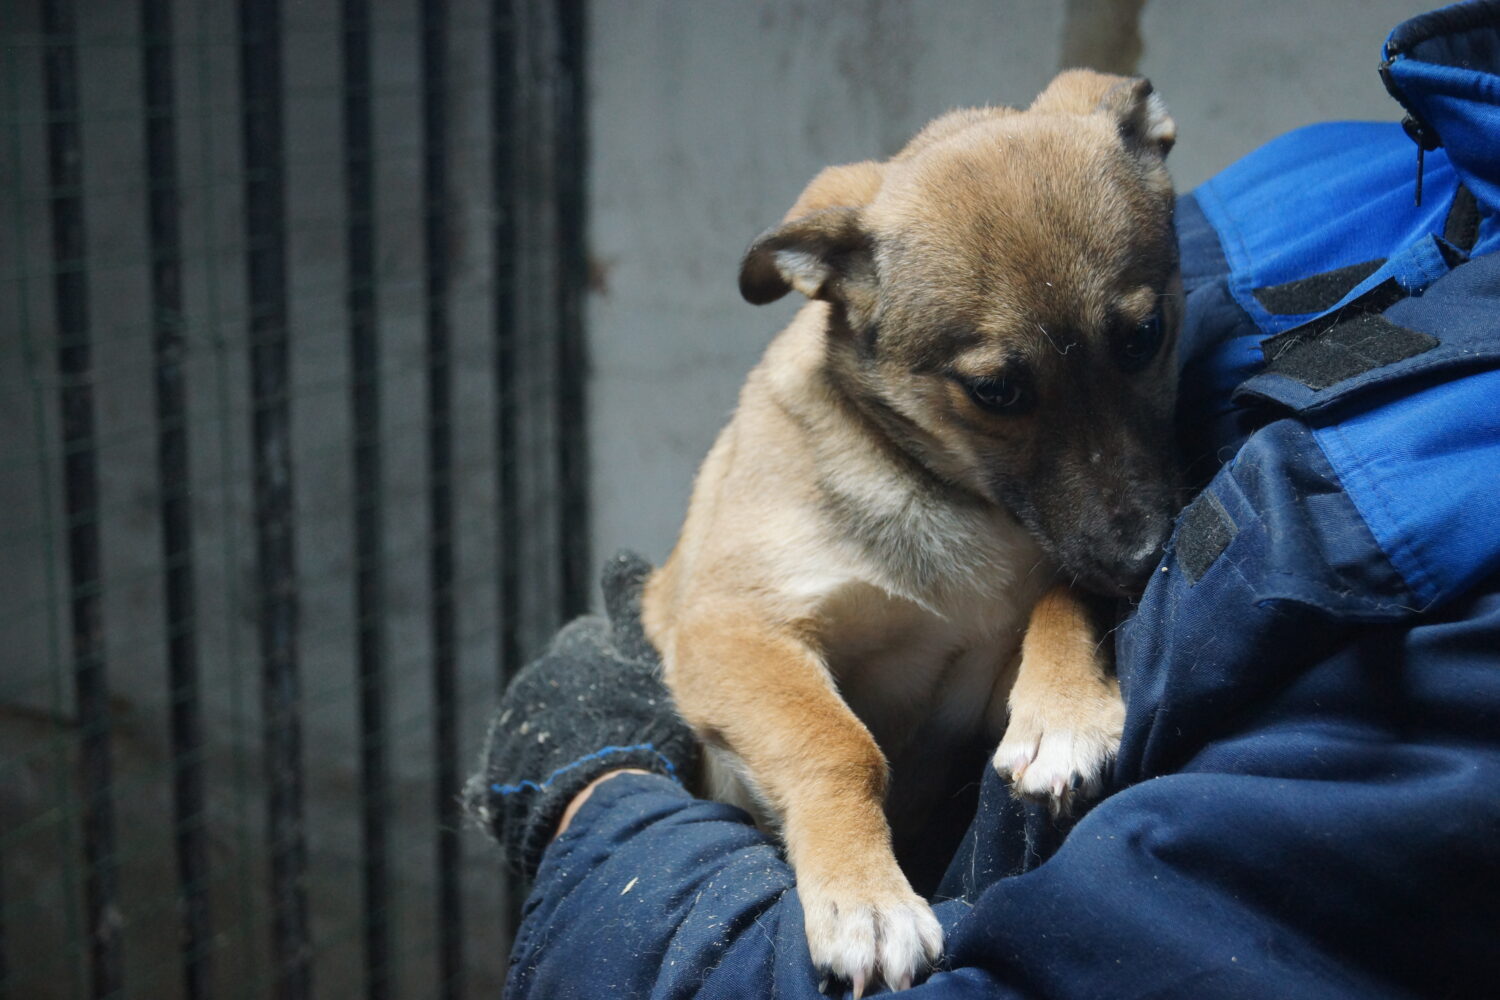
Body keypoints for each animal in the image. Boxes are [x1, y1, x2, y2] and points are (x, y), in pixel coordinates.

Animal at [645, 70, 1182, 995]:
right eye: (996, 391)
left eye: (1144, 338)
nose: (1144, 559)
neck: (952, 496)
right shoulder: (732, 630)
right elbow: (837, 741)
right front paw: (864, 900)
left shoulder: (987, 667)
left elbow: (1059, 600)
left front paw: (1065, 715)